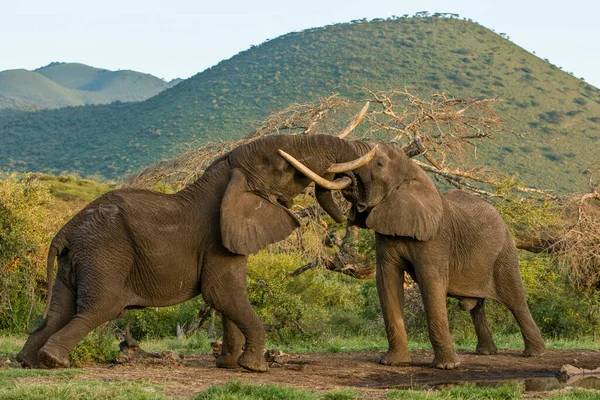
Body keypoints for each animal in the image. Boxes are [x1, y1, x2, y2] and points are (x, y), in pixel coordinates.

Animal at [16, 134, 376, 372]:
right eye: (282, 167)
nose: (352, 209)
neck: (227, 173)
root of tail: (64, 232)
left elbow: (226, 298)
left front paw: (228, 364)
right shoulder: (216, 237)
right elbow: (222, 293)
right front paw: (255, 368)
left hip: (76, 259)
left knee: (60, 309)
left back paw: (29, 362)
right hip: (103, 252)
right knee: (101, 307)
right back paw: (55, 361)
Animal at [278, 142, 548, 370]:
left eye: (379, 164)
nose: (335, 227)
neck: (412, 172)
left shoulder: (436, 238)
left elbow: (431, 284)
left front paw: (447, 367)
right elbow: (386, 281)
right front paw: (392, 363)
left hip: (505, 251)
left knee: (516, 300)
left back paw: (535, 354)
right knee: (478, 306)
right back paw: (486, 353)